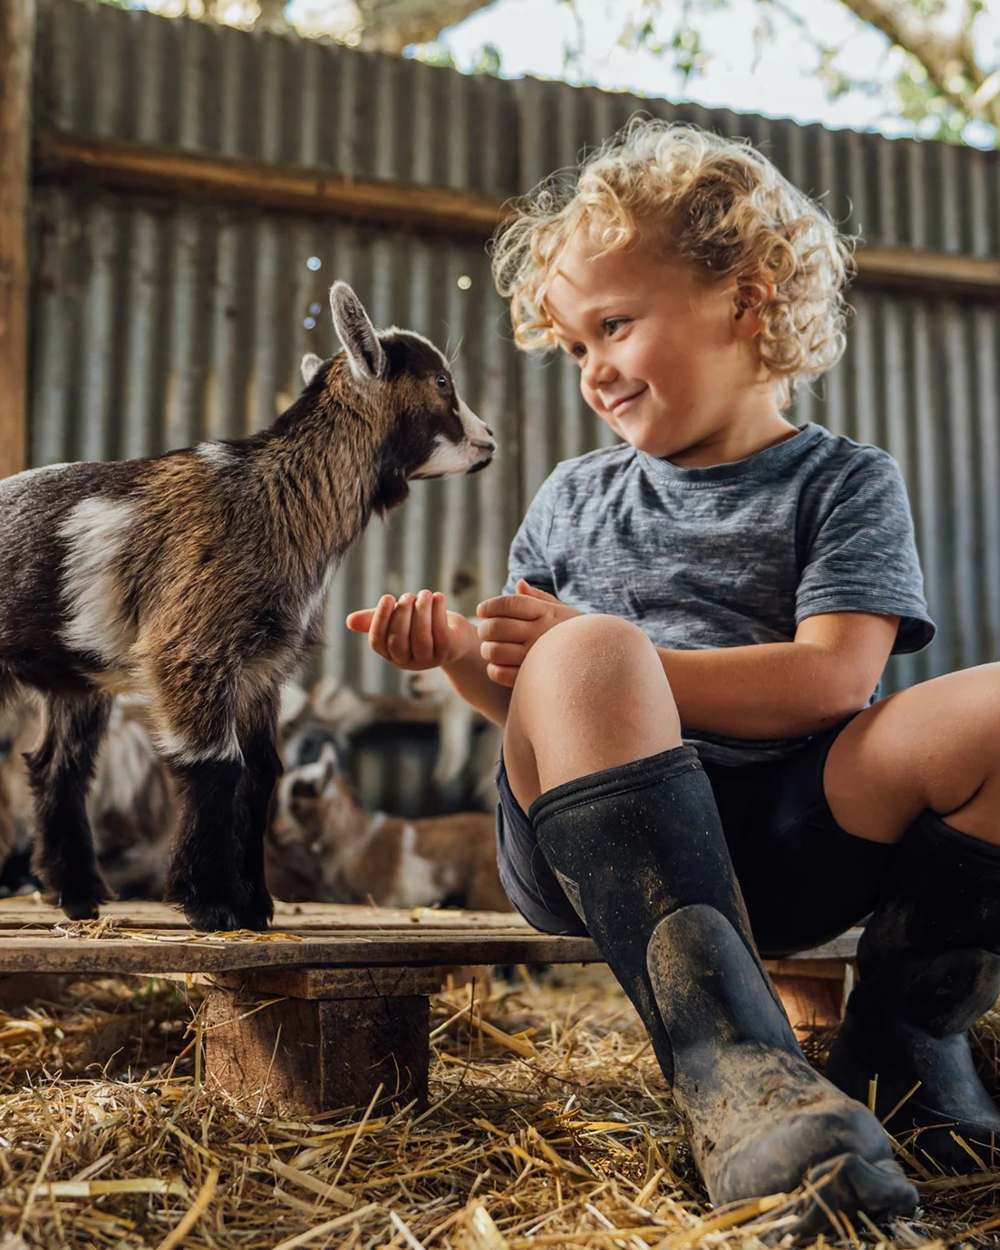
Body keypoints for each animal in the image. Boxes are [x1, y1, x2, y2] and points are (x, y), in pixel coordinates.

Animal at [0, 283, 495, 930]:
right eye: (441, 380)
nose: (489, 439)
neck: (280, 497)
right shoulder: (192, 647)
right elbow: (217, 766)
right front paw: (208, 904)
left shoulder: (263, 667)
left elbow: (261, 773)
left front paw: (255, 906)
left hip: (76, 677)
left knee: (58, 766)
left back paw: (79, 894)